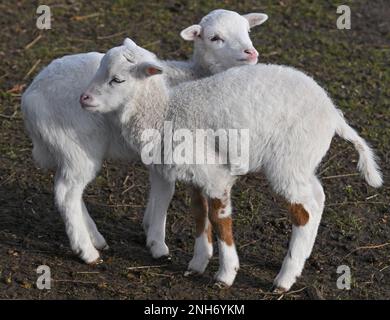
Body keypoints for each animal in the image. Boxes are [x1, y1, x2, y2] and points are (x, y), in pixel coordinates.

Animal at [21, 10, 268, 264]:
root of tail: (30, 98)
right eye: (215, 38)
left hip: (67, 149)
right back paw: (86, 251)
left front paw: (149, 226)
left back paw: (95, 238)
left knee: (70, 190)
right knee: (66, 193)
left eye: (248, 30)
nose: (251, 53)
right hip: (78, 144)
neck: (194, 76)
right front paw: (158, 244)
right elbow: (166, 193)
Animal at [80, 39, 382, 290]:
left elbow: (219, 218)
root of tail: (333, 113)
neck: (164, 112)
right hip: (301, 160)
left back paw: (284, 280)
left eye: (117, 79)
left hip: (288, 158)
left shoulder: (216, 176)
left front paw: (225, 275)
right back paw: (301, 258)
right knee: (317, 196)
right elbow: (199, 213)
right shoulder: (196, 173)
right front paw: (197, 264)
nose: (84, 99)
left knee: (303, 211)